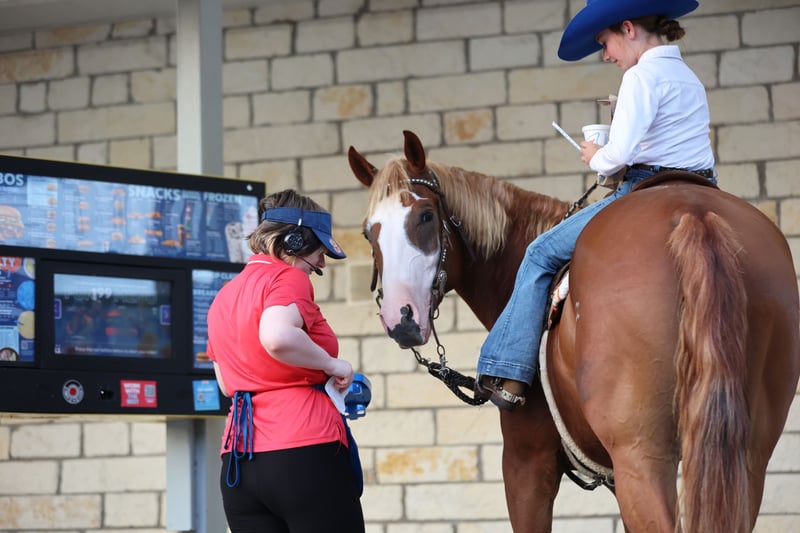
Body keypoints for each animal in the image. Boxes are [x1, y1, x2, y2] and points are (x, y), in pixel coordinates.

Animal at [348, 130, 800, 532]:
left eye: (425, 216)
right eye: (368, 231)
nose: (402, 318)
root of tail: (694, 214)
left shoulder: (527, 462)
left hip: (642, 455)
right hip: (744, 456)